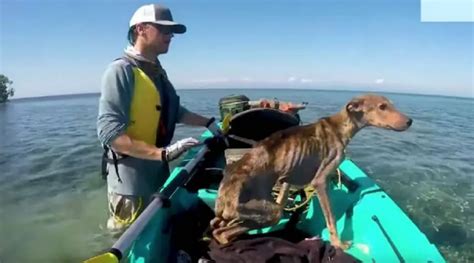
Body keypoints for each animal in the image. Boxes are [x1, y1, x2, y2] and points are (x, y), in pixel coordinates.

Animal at [209, 94, 412, 250]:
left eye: (390, 104)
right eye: (382, 107)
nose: (410, 121)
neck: (341, 127)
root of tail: (222, 194)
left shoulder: (288, 177)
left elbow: (284, 193)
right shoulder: (320, 181)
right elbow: (331, 219)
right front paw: (338, 244)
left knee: (218, 229)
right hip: (267, 212)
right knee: (222, 233)